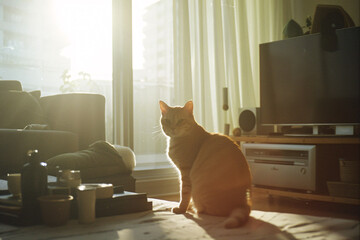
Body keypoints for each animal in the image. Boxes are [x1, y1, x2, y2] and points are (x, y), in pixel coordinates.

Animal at [159, 100, 252, 229]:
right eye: (167, 120)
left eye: (180, 120)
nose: (172, 128)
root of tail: (243, 202)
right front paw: (185, 207)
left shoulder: (185, 173)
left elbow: (184, 194)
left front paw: (181, 209)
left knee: (209, 211)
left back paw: (195, 208)